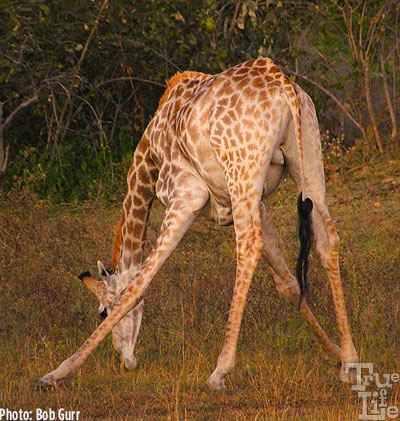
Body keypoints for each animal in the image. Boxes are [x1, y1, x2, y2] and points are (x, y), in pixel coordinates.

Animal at [36, 57, 360, 388]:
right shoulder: (252, 202)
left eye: (102, 312)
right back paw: (350, 360)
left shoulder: (185, 197)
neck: (149, 157)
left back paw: (220, 370)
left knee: (248, 245)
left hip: (243, 169)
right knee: (327, 240)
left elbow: (139, 283)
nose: (126, 361)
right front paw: (333, 351)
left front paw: (57, 372)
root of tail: (282, 84)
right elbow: (288, 284)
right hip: (305, 158)